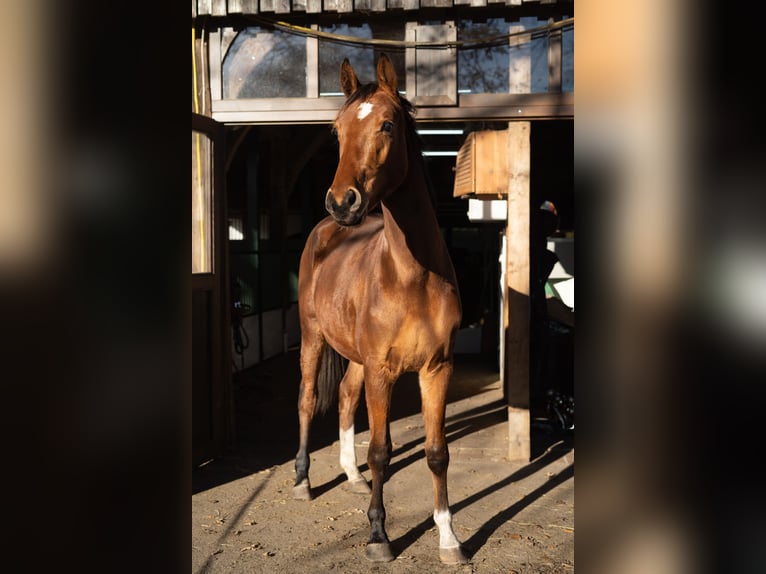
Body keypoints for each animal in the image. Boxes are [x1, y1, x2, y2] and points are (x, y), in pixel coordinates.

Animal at [293, 53, 468, 565]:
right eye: (336, 130)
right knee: (308, 399)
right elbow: (382, 451)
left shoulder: (436, 368)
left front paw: (449, 538)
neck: (411, 278)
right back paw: (303, 480)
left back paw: (351, 476)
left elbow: (436, 452)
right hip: (313, 338)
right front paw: (378, 536)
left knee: (344, 397)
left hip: (355, 359)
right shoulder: (382, 371)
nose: (341, 201)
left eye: (387, 125)